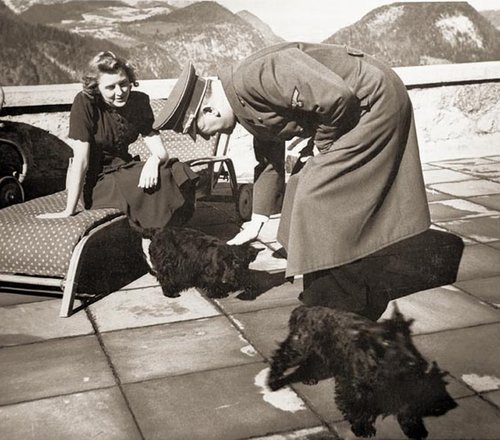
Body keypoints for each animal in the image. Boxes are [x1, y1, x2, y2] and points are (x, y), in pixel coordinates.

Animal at [267, 304, 457, 439]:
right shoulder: (354, 385)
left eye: (408, 338)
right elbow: (357, 405)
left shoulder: (401, 384)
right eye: (386, 342)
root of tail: (305, 310)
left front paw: (413, 427)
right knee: (280, 358)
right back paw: (272, 382)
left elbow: (406, 405)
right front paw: (362, 426)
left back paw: (309, 377)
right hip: (299, 349)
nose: (416, 362)